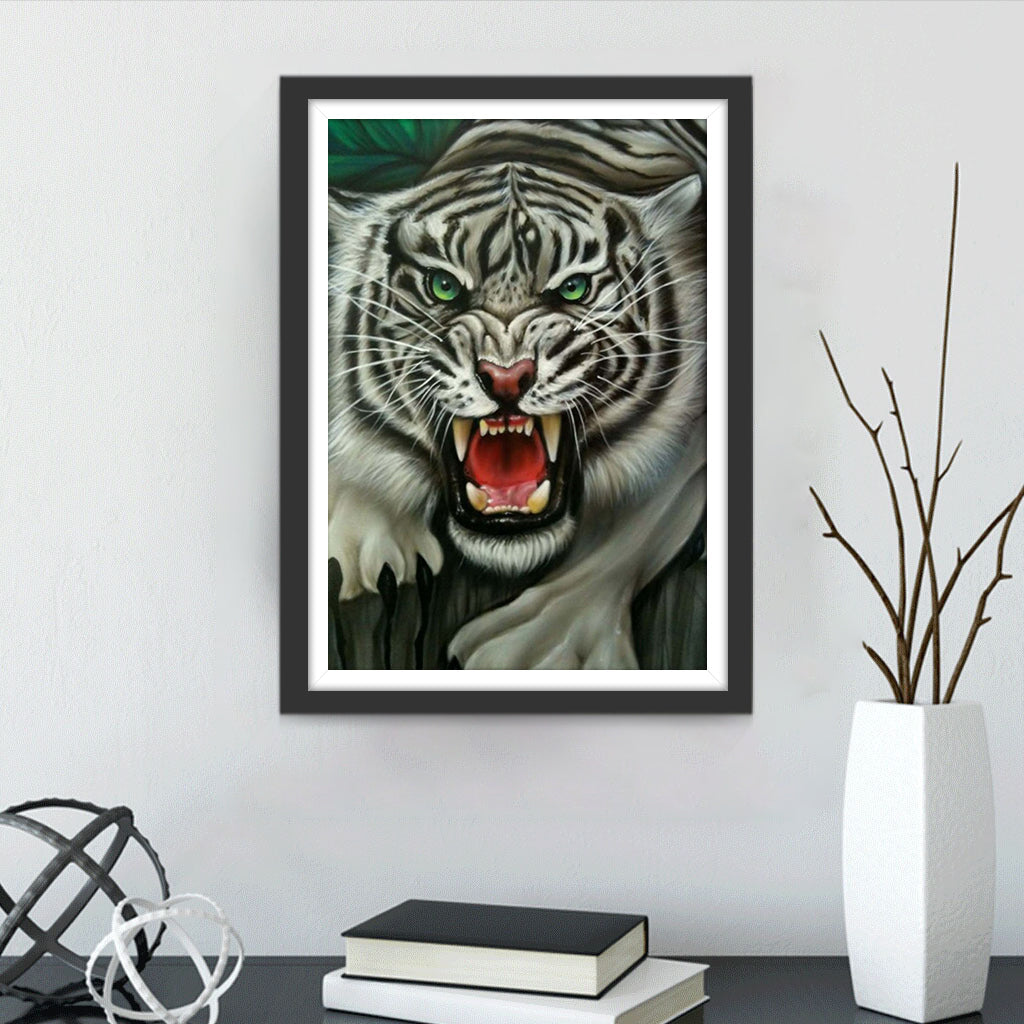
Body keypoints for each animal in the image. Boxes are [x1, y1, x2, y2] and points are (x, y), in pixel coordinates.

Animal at [327, 120, 707, 669]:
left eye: (573, 288)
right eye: (442, 286)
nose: (507, 376)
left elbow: (642, 527)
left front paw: (542, 644)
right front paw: (361, 543)